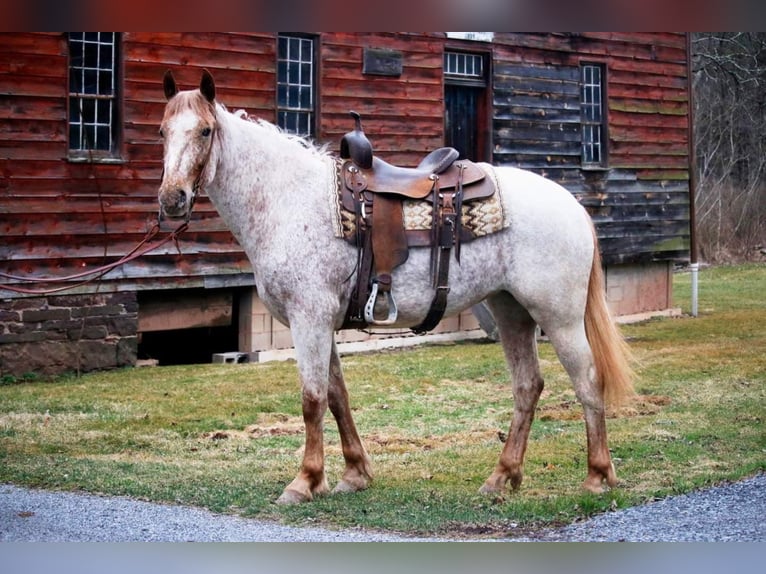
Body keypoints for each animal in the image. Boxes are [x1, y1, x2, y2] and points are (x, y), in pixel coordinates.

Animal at [158, 70, 636, 506]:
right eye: (163, 131)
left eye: (204, 130)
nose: (172, 199)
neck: (287, 200)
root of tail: (571, 203)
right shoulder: (324, 323)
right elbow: (337, 396)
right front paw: (354, 474)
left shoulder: (308, 319)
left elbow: (312, 398)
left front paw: (304, 481)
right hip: (511, 310)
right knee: (527, 386)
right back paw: (501, 477)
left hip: (559, 316)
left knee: (587, 380)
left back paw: (597, 476)